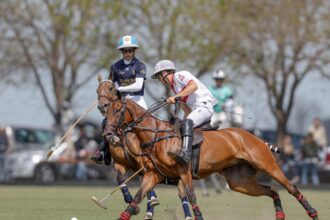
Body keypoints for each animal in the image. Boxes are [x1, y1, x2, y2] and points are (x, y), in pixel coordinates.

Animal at [95, 75, 193, 219]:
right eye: (97, 90)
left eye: (111, 88)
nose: (103, 106)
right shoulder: (119, 163)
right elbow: (121, 180)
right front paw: (134, 206)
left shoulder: (143, 163)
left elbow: (147, 187)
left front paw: (151, 203)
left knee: (183, 193)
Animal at [102, 82, 318, 218]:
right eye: (106, 111)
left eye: (118, 110)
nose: (108, 133)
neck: (157, 136)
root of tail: (257, 138)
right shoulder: (152, 175)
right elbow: (135, 200)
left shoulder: (185, 172)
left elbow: (192, 198)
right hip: (239, 181)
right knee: (272, 190)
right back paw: (280, 214)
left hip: (267, 165)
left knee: (291, 187)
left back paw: (312, 212)